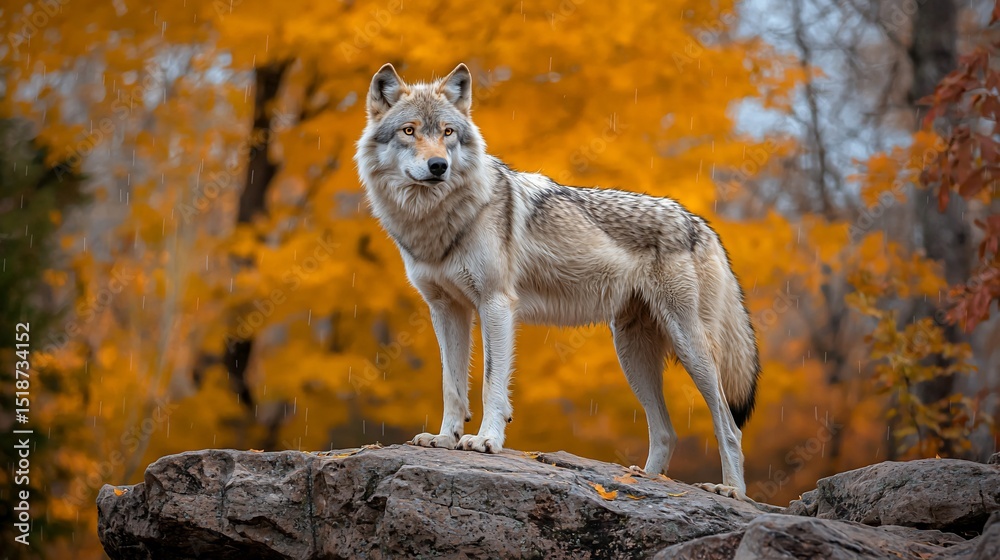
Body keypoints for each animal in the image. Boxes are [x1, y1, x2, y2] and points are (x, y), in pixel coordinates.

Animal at [354, 63, 760, 499]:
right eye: (409, 130)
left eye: (448, 132)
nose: (438, 166)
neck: (437, 220)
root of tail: (702, 223)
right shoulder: (447, 310)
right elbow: (452, 384)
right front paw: (446, 439)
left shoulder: (496, 304)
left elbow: (491, 382)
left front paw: (486, 440)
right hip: (632, 352)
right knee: (666, 431)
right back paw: (643, 482)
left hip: (690, 347)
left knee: (729, 425)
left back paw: (731, 491)